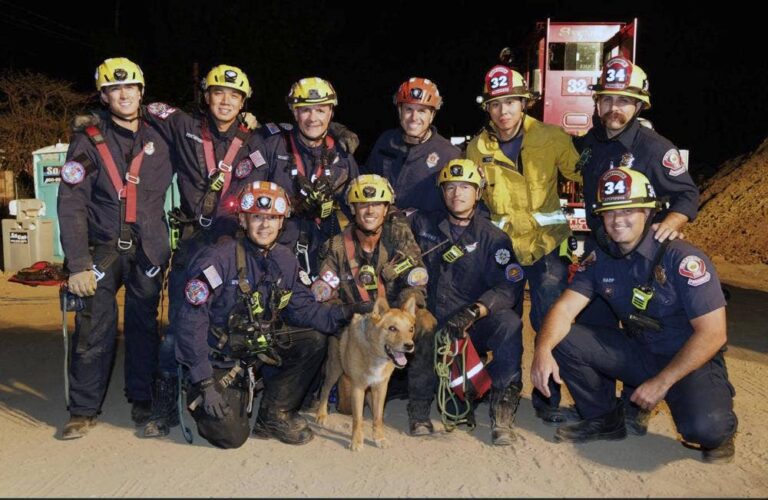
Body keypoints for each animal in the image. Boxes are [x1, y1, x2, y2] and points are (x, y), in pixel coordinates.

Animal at [316, 294, 416, 452]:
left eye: (411, 329)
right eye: (392, 328)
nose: (409, 346)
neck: (374, 354)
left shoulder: (381, 387)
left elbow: (378, 417)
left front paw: (379, 437)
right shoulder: (357, 389)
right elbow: (358, 419)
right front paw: (356, 441)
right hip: (335, 369)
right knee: (325, 389)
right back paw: (321, 414)